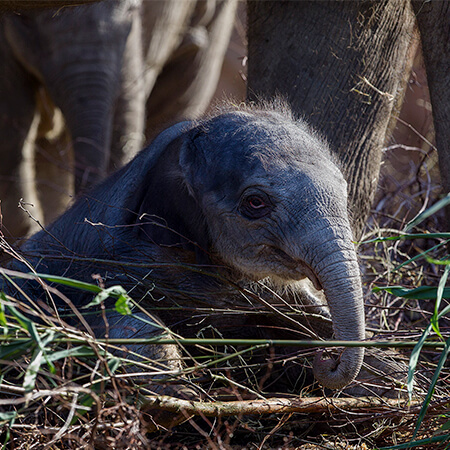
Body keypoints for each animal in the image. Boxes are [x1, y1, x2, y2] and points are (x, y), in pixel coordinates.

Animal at [2, 103, 366, 394]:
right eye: (255, 203)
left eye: (344, 188)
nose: (326, 359)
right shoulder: (101, 269)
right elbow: (121, 318)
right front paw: (184, 396)